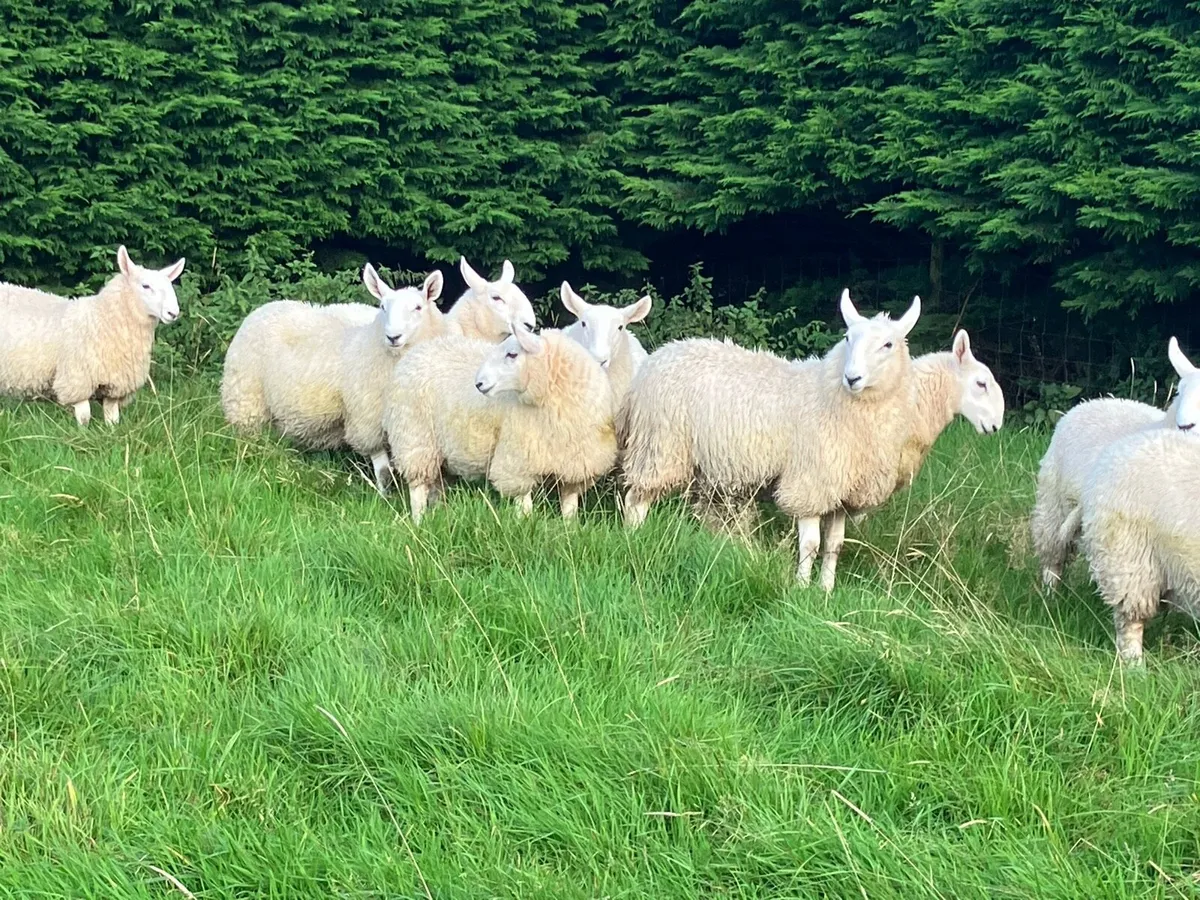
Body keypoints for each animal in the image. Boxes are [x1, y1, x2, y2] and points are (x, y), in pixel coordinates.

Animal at [0, 245, 185, 426]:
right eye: (145, 286)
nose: (173, 313)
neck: (100, 319)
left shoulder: (114, 385)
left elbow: (112, 419)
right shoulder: (77, 380)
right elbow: (84, 418)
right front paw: (82, 434)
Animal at [220, 266, 445, 486]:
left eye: (418, 307)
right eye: (383, 307)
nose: (393, 337)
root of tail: (265, 308)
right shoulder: (366, 421)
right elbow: (384, 473)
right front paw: (383, 494)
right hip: (245, 402)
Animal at [384, 327, 617, 523]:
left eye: (512, 354)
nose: (479, 383)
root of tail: (417, 352)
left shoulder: (576, 463)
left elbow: (569, 505)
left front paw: (570, 529)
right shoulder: (518, 460)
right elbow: (523, 501)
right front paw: (524, 524)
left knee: (435, 484)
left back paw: (440, 514)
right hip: (415, 437)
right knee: (417, 487)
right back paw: (419, 521)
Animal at [620, 289, 921, 584]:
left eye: (888, 345)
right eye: (847, 338)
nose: (852, 377)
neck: (830, 393)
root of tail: (656, 358)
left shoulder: (840, 492)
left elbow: (834, 545)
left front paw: (826, 589)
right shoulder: (809, 482)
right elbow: (810, 544)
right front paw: (801, 587)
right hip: (660, 446)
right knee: (635, 500)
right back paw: (633, 539)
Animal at [1030, 337, 1200, 588]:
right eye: (1179, 391)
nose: (1185, 425)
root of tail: (1092, 400)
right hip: (1053, 503)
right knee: (1053, 554)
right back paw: (1050, 591)